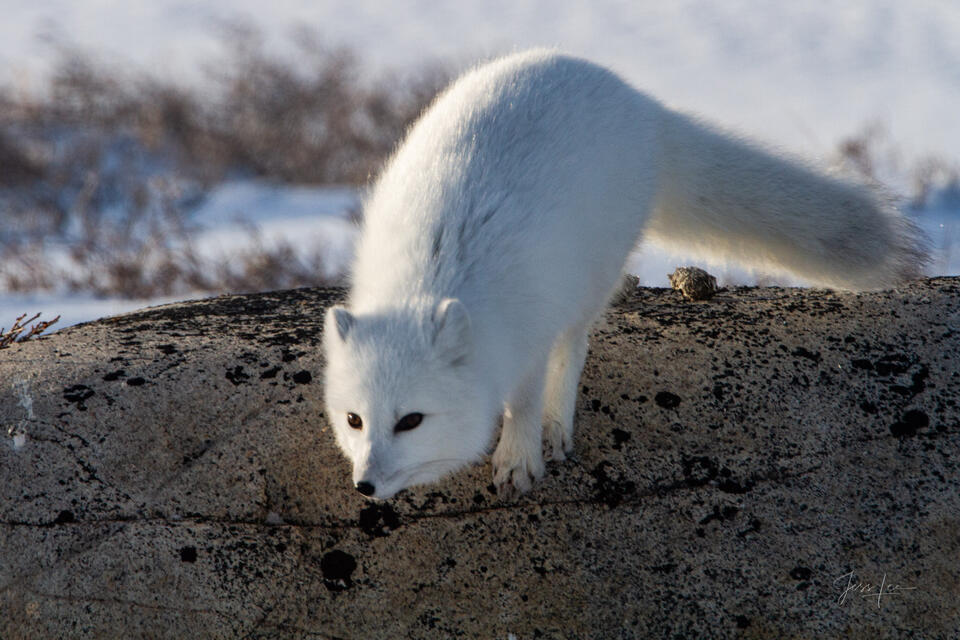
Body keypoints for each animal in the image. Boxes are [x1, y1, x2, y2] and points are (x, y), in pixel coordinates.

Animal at [322, 49, 926, 500]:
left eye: (411, 420)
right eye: (354, 420)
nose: (365, 486)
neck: (432, 276)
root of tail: (639, 101)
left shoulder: (531, 329)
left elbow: (526, 397)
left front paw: (520, 458)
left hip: (593, 271)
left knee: (575, 344)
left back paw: (556, 429)